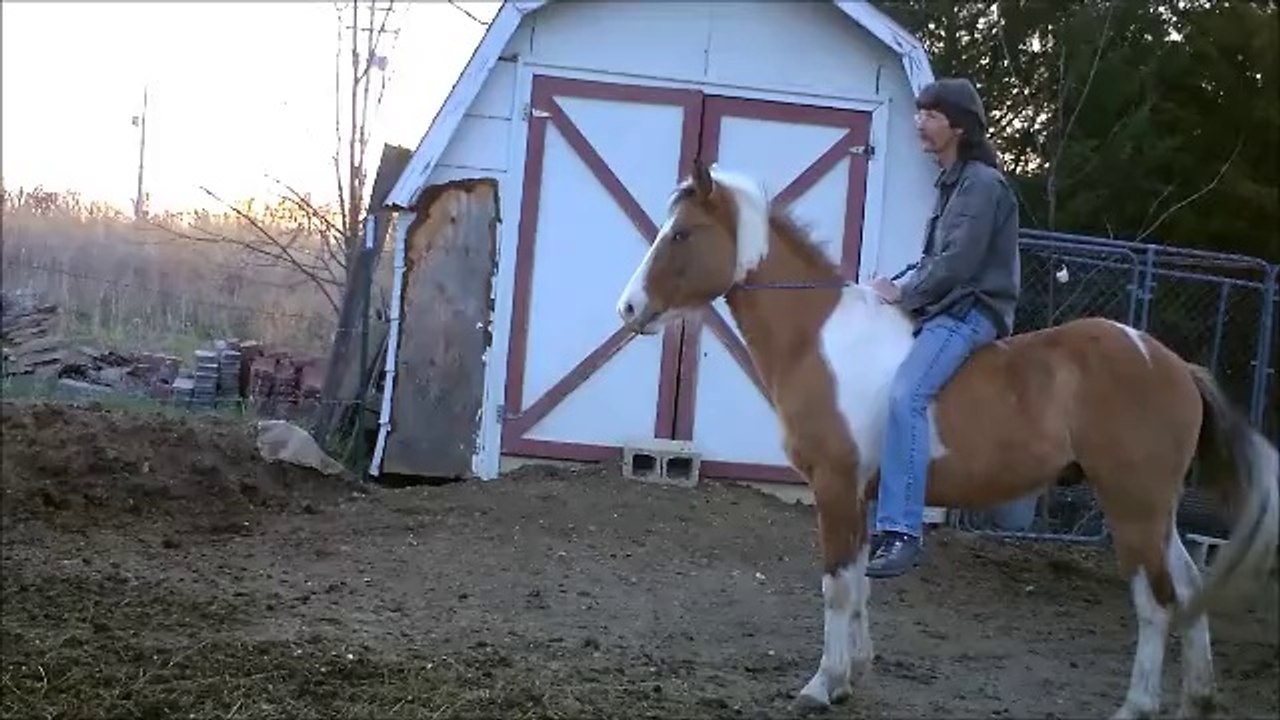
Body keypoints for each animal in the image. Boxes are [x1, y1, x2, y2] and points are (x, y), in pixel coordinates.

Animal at [613, 159, 1279, 718]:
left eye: (681, 234)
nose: (628, 307)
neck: (820, 340)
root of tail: (1173, 364)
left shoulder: (834, 487)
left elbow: (836, 586)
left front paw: (821, 685)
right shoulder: (863, 494)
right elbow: (859, 584)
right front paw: (852, 674)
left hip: (1132, 507)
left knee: (1156, 602)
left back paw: (1138, 706)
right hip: (1155, 510)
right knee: (1190, 589)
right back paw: (1198, 696)